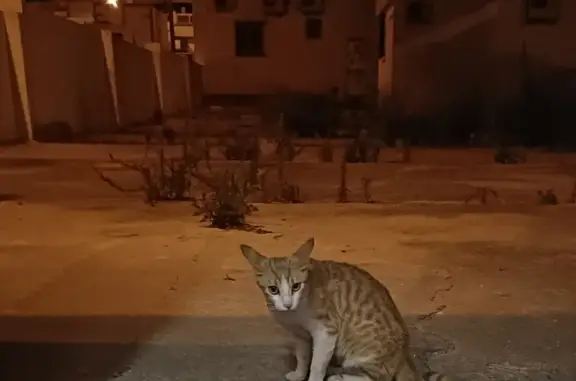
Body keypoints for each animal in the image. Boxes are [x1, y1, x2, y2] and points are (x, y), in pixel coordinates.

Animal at [241, 236, 448, 378]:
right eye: (273, 289)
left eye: (296, 286)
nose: (287, 304)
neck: (296, 312)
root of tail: (403, 355)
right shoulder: (300, 334)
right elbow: (303, 355)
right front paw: (299, 374)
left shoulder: (326, 331)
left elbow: (317, 364)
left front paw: (313, 376)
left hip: (363, 349)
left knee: (379, 377)